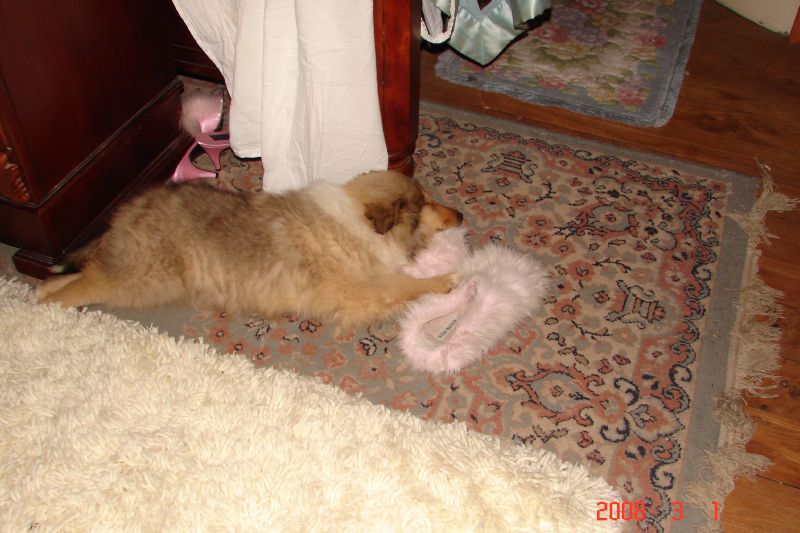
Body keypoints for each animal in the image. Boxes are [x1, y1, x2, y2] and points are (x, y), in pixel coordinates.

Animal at [36, 170, 462, 326]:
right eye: (425, 202)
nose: (460, 214)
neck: (361, 219)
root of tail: (136, 203)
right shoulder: (357, 289)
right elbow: (403, 285)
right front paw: (446, 280)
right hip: (144, 274)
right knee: (87, 281)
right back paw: (46, 309)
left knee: (74, 273)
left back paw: (41, 290)